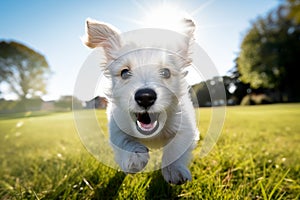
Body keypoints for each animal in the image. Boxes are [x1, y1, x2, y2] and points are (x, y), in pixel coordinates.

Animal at [82, 18, 199, 184]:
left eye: (166, 72)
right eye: (124, 72)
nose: (145, 97)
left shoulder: (186, 127)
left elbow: (176, 147)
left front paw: (175, 170)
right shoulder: (117, 128)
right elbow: (125, 142)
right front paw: (135, 158)